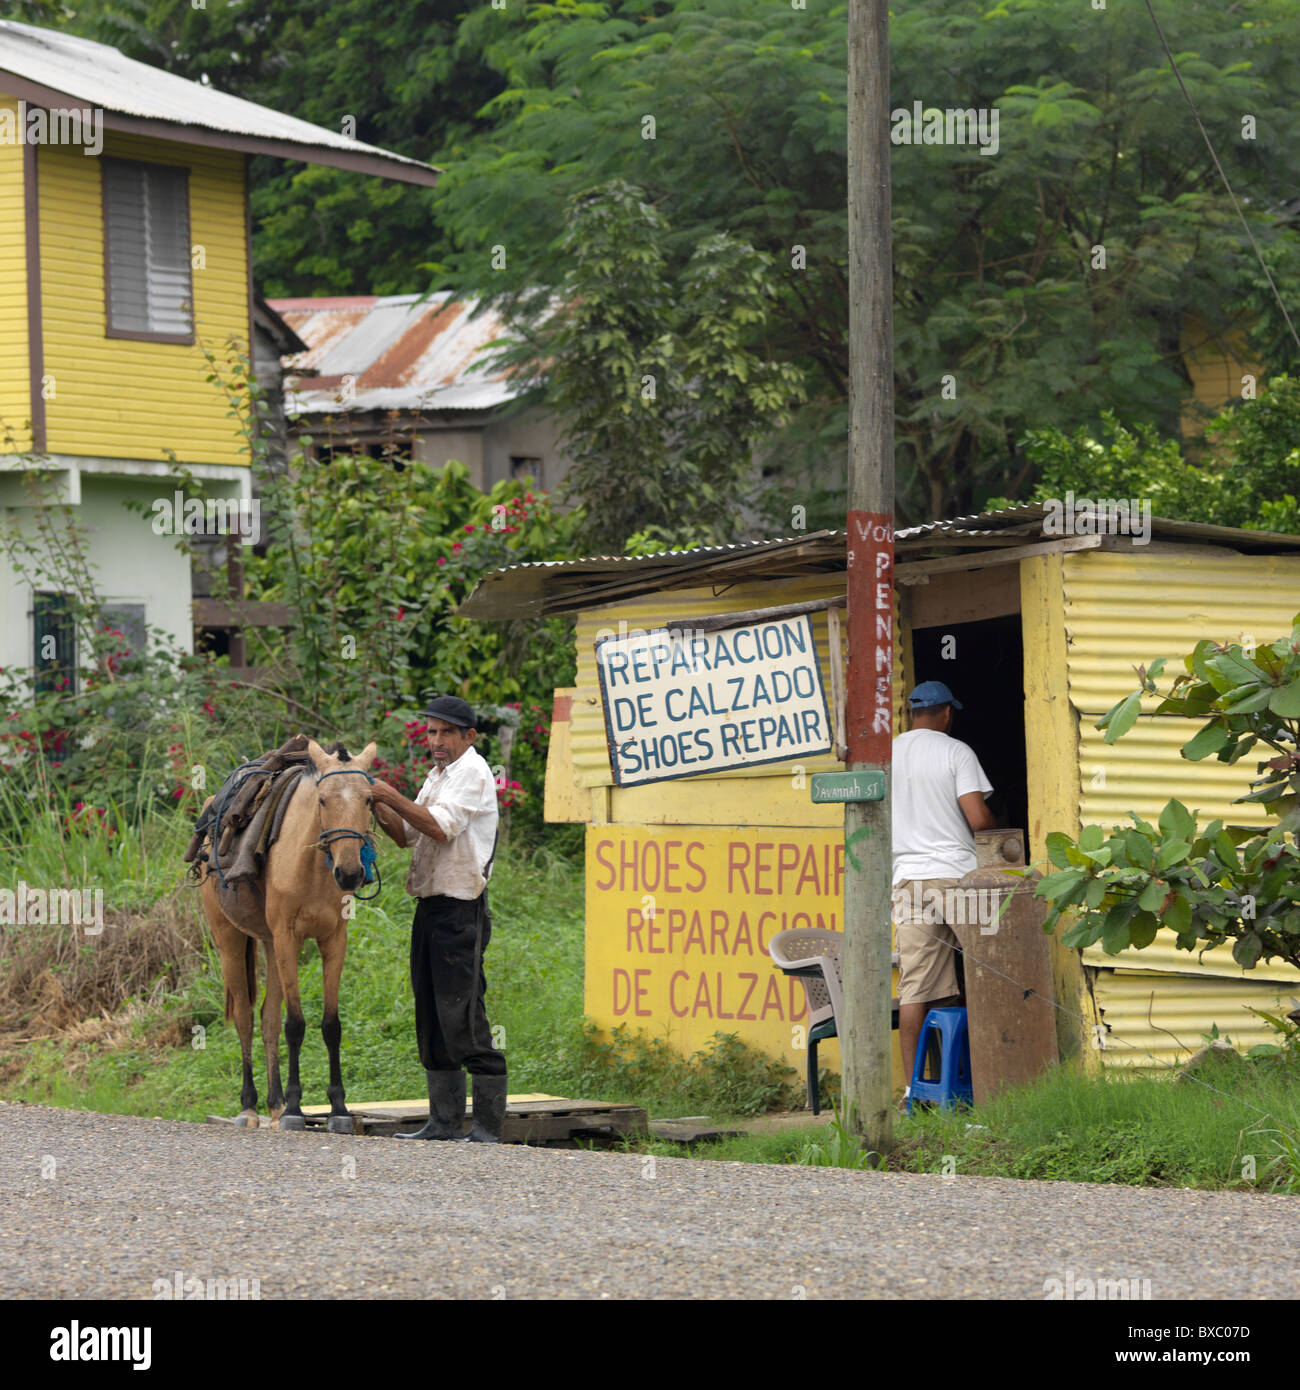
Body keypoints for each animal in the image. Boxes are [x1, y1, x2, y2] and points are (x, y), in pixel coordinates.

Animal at [198, 739, 378, 1128]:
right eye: (323, 800)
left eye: (369, 800)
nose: (350, 872)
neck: (311, 868)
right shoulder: (288, 939)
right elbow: (295, 1025)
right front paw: (297, 1107)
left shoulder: (334, 941)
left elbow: (330, 1025)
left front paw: (338, 1109)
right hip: (231, 942)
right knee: (246, 1019)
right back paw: (250, 1106)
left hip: (269, 944)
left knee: (267, 1020)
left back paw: (275, 1104)